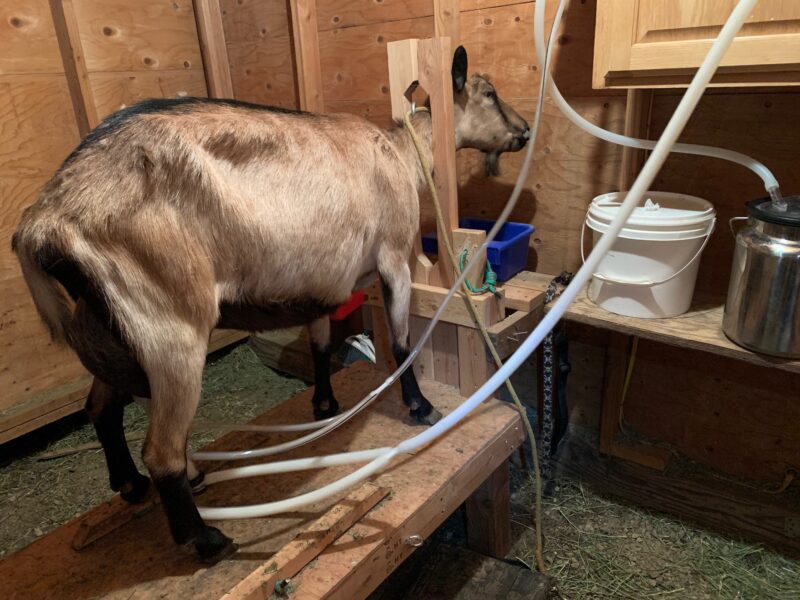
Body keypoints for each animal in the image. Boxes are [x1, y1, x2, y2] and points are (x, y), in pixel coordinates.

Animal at [14, 45, 532, 564]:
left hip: (109, 332)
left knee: (100, 407)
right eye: (489, 92)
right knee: (162, 450)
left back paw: (130, 484)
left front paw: (324, 404)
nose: (525, 130)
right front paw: (421, 407)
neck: (402, 154)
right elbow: (403, 344)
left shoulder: (324, 283)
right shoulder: (394, 257)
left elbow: (321, 345)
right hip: (168, 325)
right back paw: (205, 538)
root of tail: (44, 220)